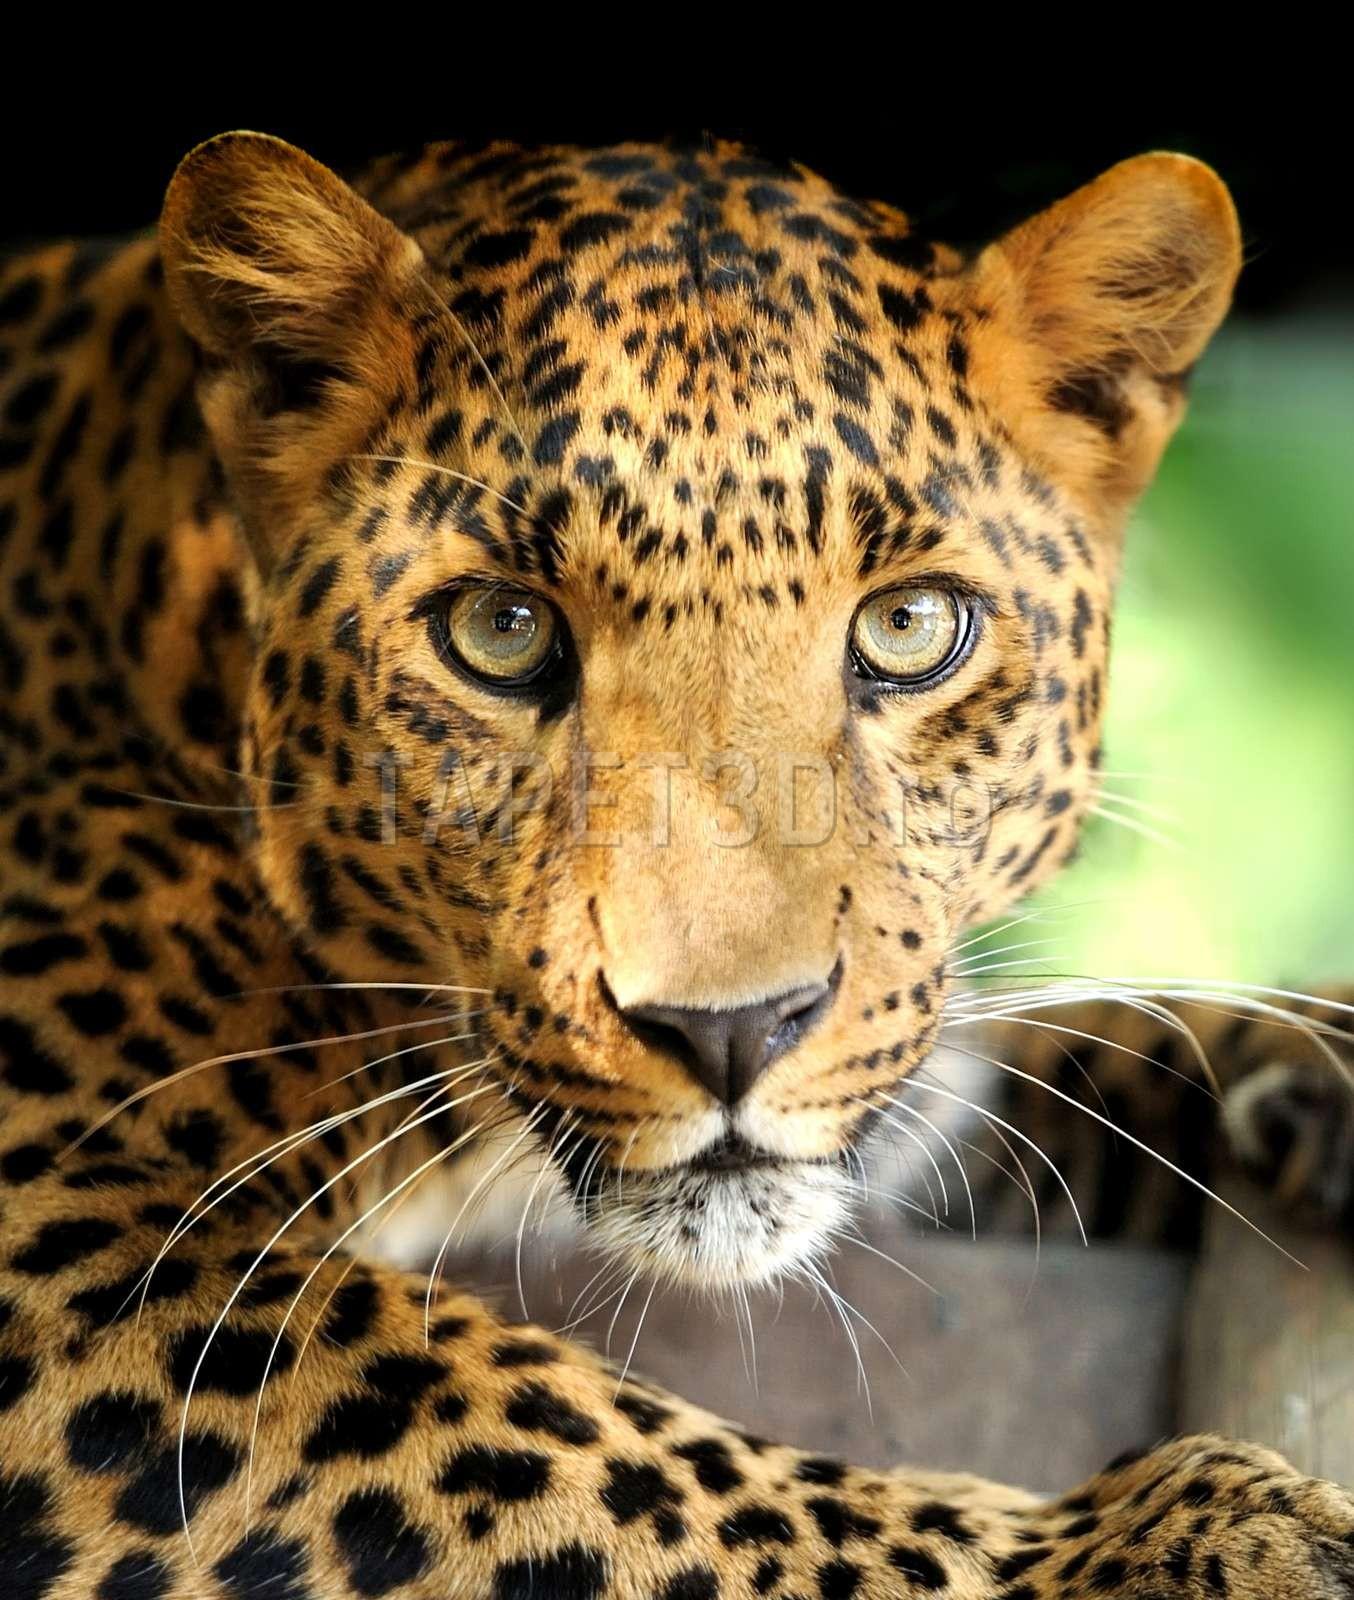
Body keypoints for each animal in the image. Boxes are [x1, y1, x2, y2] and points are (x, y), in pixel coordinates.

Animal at [1, 128, 1353, 1600]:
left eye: (909, 626)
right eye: (501, 628)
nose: (730, 1032)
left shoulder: (920, 1060)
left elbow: (1092, 1029)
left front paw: (1316, 1062)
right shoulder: (71, 1223)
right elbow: (577, 1448)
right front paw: (1184, 1544)